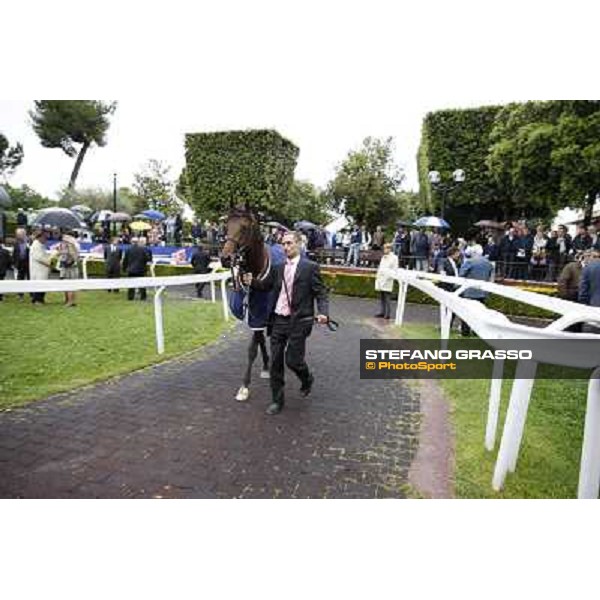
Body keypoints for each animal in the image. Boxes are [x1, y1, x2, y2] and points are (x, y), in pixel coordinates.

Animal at [221, 207, 284, 404]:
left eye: (245, 227)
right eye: (227, 224)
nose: (226, 258)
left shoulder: (261, 311)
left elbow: (252, 349)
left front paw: (244, 387)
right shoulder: (255, 314)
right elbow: (258, 339)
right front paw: (264, 367)